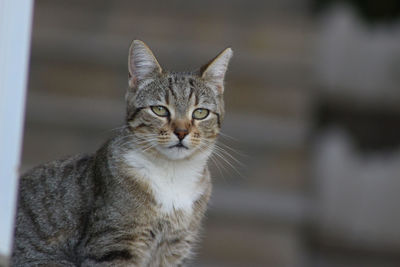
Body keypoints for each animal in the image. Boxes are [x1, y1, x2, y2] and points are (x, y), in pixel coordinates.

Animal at [10, 40, 233, 267]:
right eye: (159, 110)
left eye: (200, 113)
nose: (181, 132)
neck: (172, 174)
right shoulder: (113, 244)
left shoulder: (176, 247)